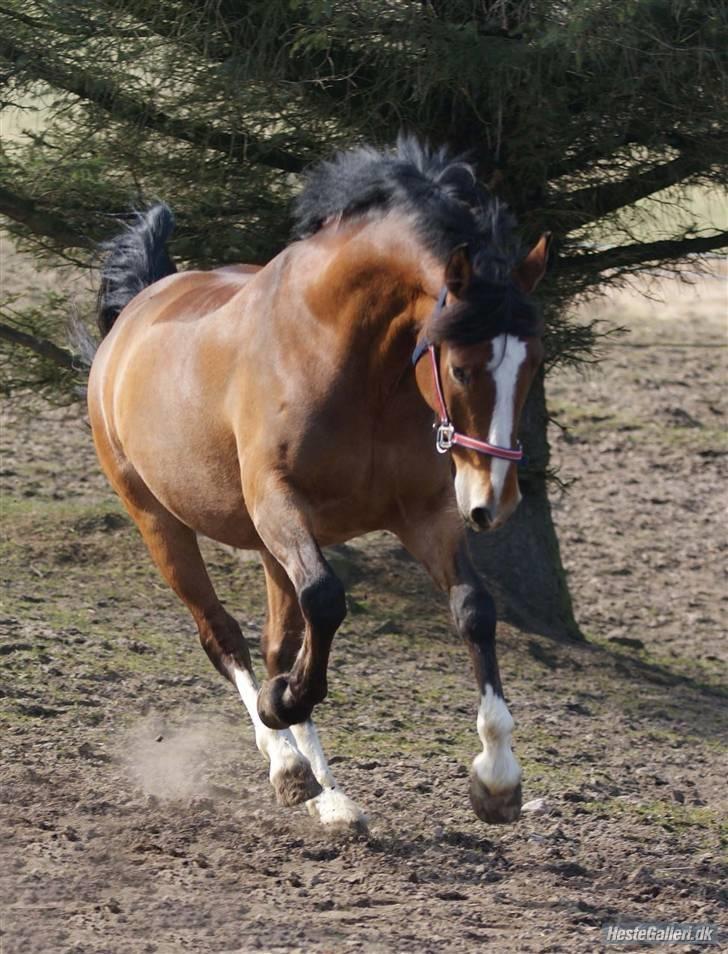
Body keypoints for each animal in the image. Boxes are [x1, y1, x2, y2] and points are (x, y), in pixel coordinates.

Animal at [88, 138, 548, 828]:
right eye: (462, 368)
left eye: (534, 362)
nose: (496, 500)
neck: (358, 363)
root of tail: (133, 315)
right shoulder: (280, 503)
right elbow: (327, 601)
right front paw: (283, 706)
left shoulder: (424, 515)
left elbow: (474, 610)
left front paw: (496, 778)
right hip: (159, 521)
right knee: (223, 635)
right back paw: (286, 761)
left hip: (268, 549)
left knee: (279, 642)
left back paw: (329, 796)